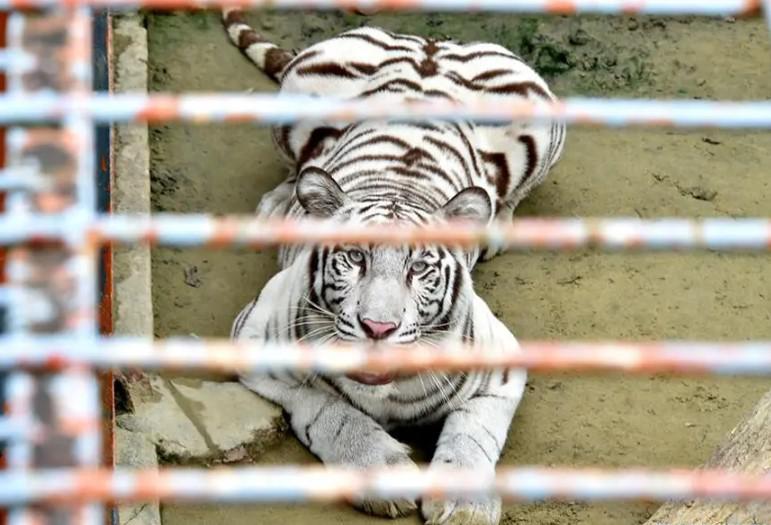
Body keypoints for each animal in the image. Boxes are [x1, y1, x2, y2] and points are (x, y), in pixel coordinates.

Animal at [224, 10, 565, 525]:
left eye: (420, 267)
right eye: (354, 257)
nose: (378, 328)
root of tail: (430, 42)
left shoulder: (502, 369)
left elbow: (473, 436)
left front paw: (465, 506)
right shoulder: (255, 341)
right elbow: (330, 410)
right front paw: (383, 471)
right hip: (295, 98)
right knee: (297, 171)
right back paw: (278, 206)